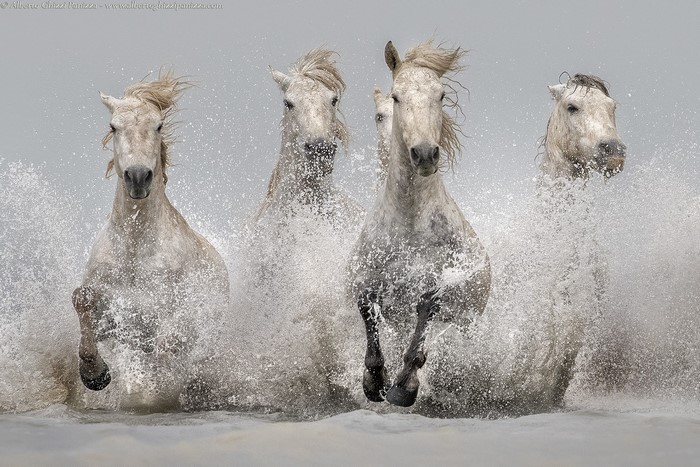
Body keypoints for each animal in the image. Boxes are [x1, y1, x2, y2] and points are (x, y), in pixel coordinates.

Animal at [72, 71, 229, 408]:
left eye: (158, 125)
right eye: (113, 126)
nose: (138, 177)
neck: (134, 249)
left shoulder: (169, 315)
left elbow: (168, 343)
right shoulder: (113, 312)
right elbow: (82, 299)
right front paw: (95, 374)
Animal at [348, 41, 491, 407]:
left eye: (441, 95)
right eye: (396, 97)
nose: (425, 154)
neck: (408, 224)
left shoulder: (435, 287)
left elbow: (424, 320)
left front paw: (403, 389)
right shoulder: (367, 281)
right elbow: (368, 316)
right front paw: (374, 383)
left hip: (468, 322)